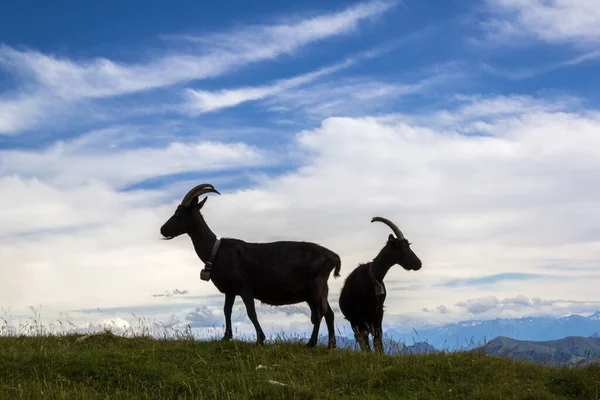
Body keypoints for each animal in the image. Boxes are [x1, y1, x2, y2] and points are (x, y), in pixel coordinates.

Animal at [159, 184, 342, 346]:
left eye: (179, 214)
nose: (162, 229)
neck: (216, 252)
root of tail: (334, 256)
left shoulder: (245, 286)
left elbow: (251, 313)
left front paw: (260, 339)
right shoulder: (230, 290)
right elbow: (227, 310)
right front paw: (226, 337)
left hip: (315, 286)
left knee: (319, 313)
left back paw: (311, 343)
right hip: (316, 290)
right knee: (329, 313)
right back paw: (331, 345)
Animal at [338, 217, 422, 352]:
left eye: (408, 246)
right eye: (403, 248)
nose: (418, 263)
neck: (374, 278)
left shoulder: (378, 311)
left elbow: (378, 336)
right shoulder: (360, 313)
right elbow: (365, 339)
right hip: (354, 319)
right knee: (361, 338)